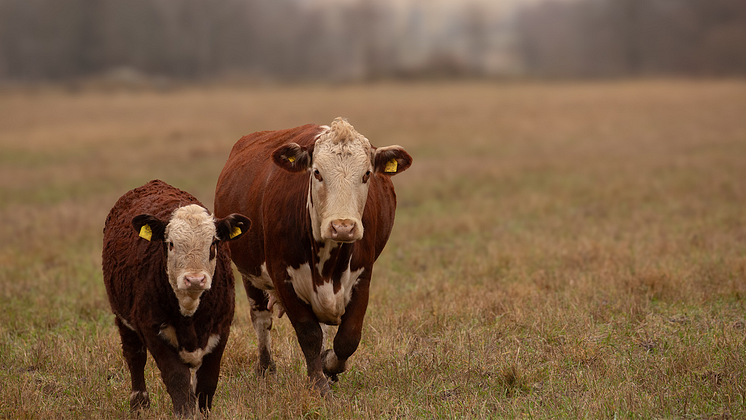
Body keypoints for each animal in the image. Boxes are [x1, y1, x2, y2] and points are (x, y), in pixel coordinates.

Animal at [101, 179, 250, 416]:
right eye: (171, 244)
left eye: (213, 244)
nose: (195, 279)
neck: (189, 312)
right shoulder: (151, 329)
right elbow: (177, 379)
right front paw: (185, 414)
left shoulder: (222, 328)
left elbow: (207, 383)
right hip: (122, 318)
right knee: (135, 357)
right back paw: (139, 404)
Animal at [214, 117, 412, 394]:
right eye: (317, 172)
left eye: (366, 174)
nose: (343, 226)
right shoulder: (283, 278)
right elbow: (309, 334)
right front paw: (318, 384)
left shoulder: (362, 278)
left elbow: (348, 337)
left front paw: (329, 365)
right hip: (250, 274)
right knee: (261, 319)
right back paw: (265, 370)